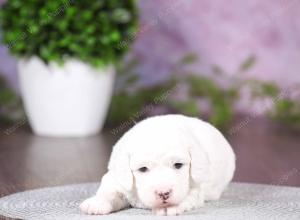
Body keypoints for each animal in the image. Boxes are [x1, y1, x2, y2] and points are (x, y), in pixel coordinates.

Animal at [81, 114, 236, 216]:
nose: (163, 193)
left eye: (178, 165)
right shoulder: (117, 178)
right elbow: (109, 191)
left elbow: (188, 195)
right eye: (143, 169)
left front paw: (171, 206)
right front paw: (97, 203)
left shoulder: (195, 186)